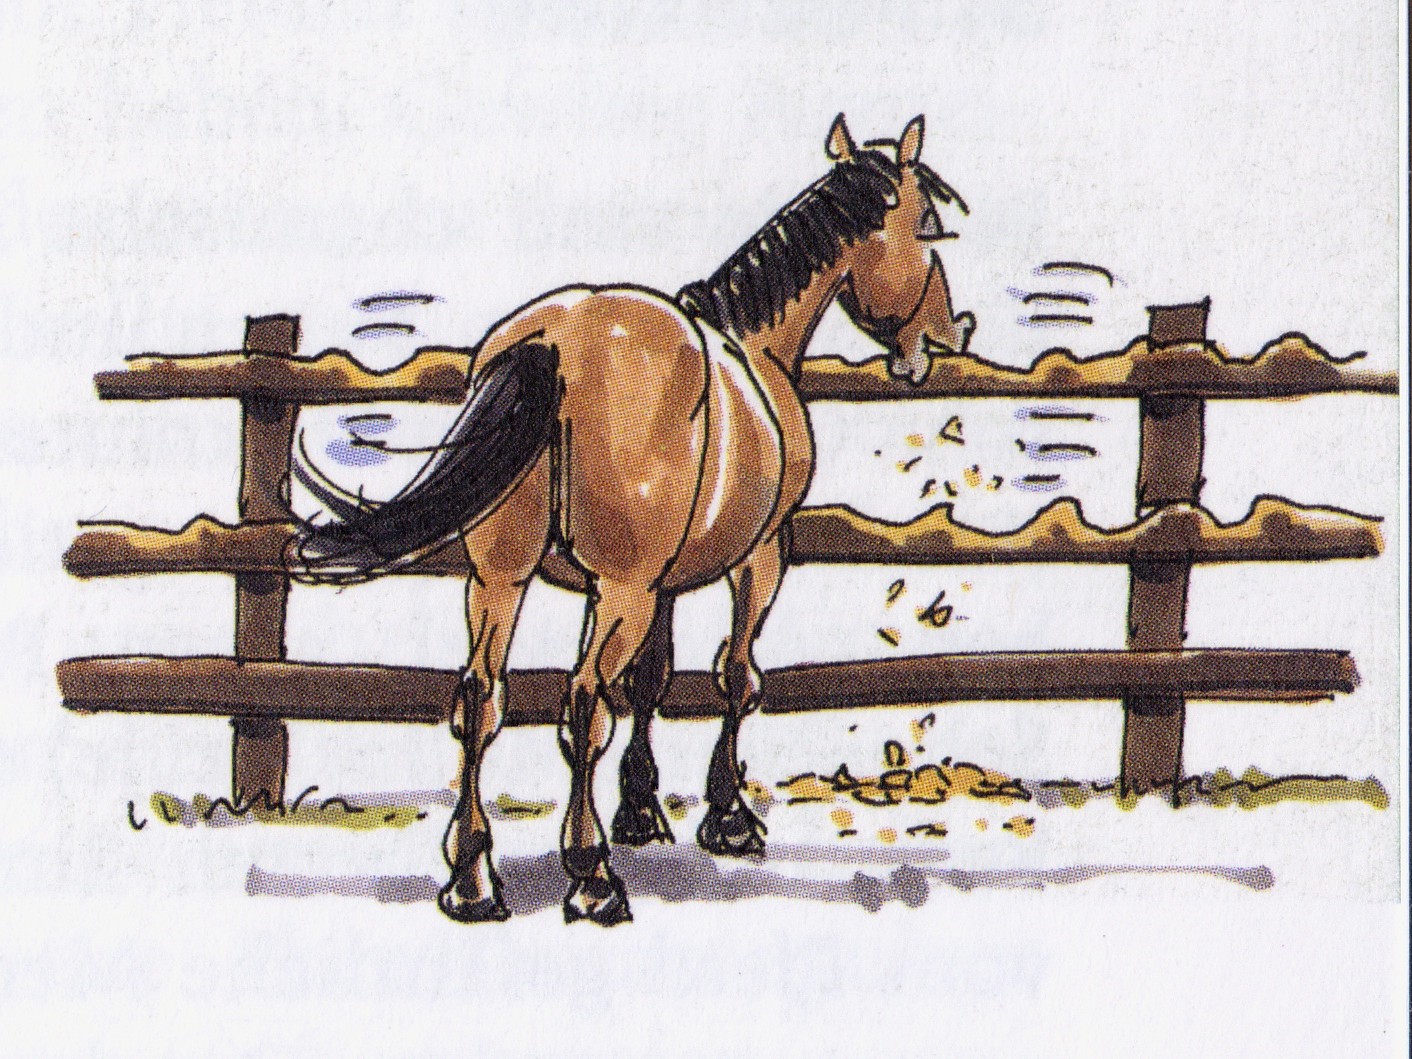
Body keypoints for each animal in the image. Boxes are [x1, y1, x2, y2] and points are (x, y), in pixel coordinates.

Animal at [289, 114, 975, 926]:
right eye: (927, 228)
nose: (944, 338)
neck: (755, 342)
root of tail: (556, 341)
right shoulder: (757, 558)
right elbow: (734, 676)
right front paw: (726, 816)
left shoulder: (665, 580)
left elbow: (651, 679)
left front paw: (641, 811)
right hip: (618, 588)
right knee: (584, 704)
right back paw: (590, 877)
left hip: (500, 576)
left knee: (480, 697)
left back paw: (472, 878)